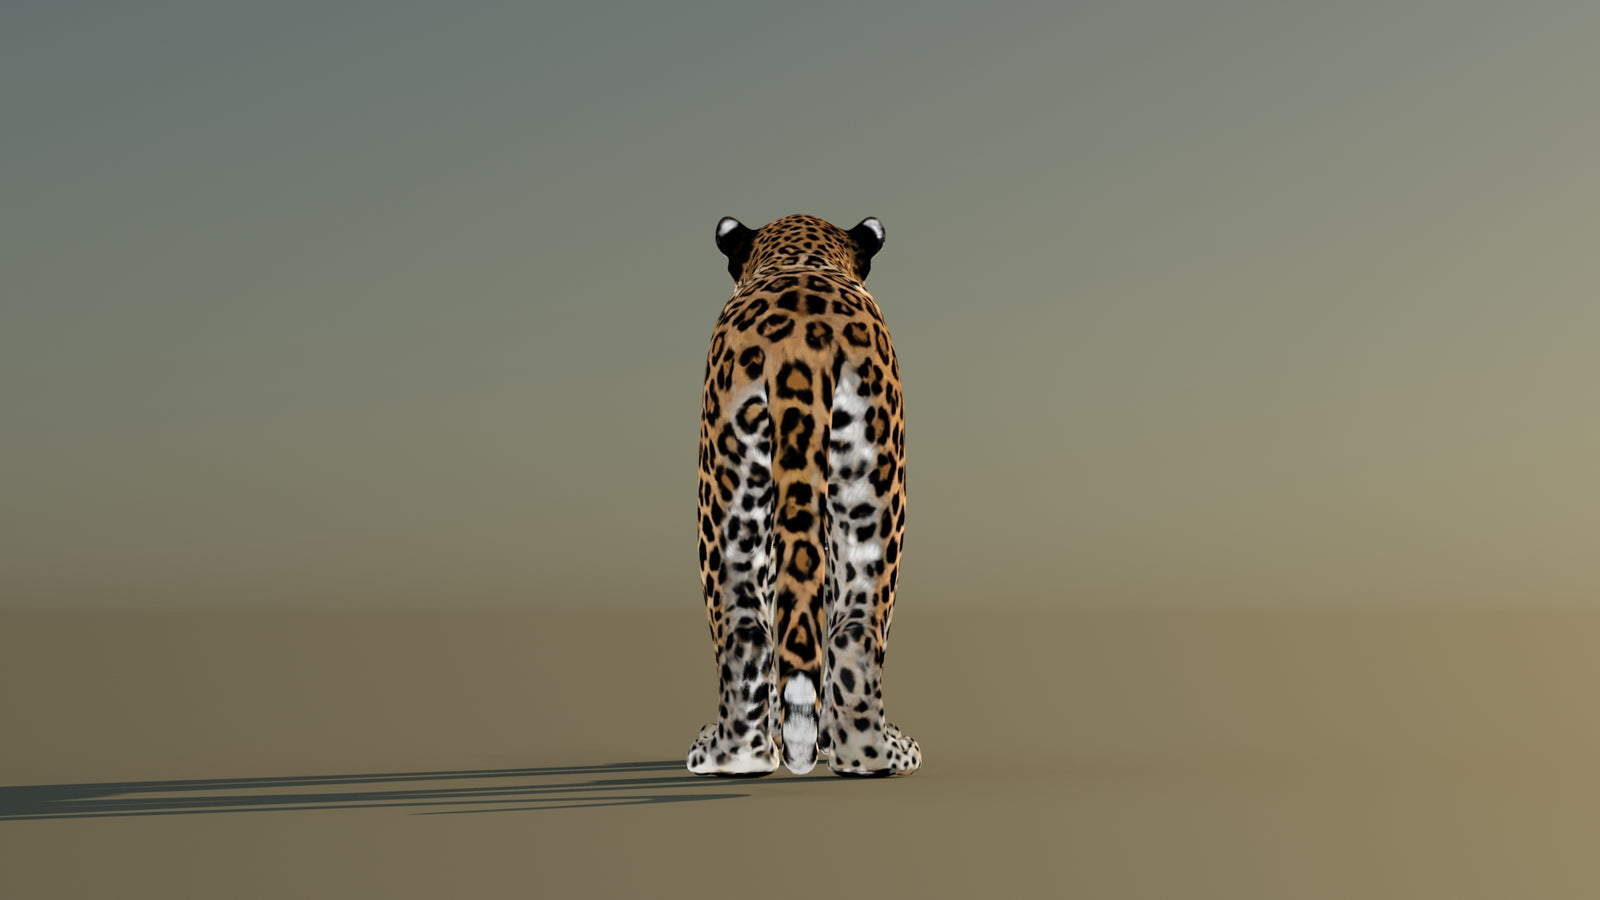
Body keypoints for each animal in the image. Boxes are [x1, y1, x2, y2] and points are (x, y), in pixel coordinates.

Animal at [686, 213, 920, 778]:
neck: (798, 254)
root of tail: (799, 349)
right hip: (868, 493)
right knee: (849, 629)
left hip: (729, 494)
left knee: (752, 629)